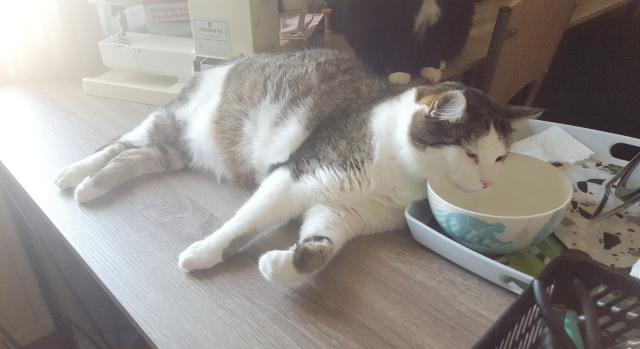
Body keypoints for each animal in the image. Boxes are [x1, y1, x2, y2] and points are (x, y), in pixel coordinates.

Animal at [55, 49, 540, 282]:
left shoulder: (344, 212)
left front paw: (281, 265)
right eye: (471, 153)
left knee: (140, 156)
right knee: (119, 143)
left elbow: (322, 248)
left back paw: (92, 187)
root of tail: (218, 63)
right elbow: (243, 224)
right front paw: (203, 253)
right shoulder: (295, 176)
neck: (398, 173)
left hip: (177, 148)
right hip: (172, 120)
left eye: (500, 157)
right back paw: (74, 174)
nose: (488, 182)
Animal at [344, 0, 476, 84]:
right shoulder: (393, 17)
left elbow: (437, 45)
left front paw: (431, 68)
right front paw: (399, 73)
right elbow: (397, 46)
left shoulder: (448, 16)